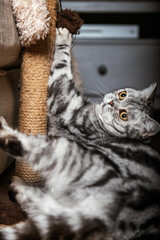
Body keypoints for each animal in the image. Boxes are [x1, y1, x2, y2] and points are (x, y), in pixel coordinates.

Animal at [0, 27, 160, 239]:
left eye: (124, 115)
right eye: (122, 94)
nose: (111, 102)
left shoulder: (67, 103)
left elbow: (61, 68)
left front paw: (63, 37)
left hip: (65, 151)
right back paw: (17, 184)